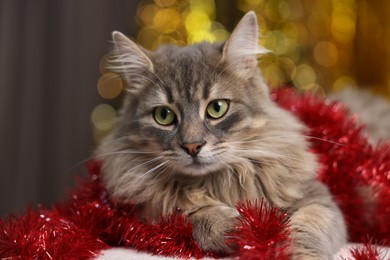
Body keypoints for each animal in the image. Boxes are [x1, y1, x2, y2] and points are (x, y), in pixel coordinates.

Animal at [96, 11, 346, 258]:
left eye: (217, 108)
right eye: (164, 115)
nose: (193, 146)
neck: (220, 180)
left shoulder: (318, 199)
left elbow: (308, 227)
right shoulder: (144, 212)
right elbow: (191, 214)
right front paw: (243, 227)